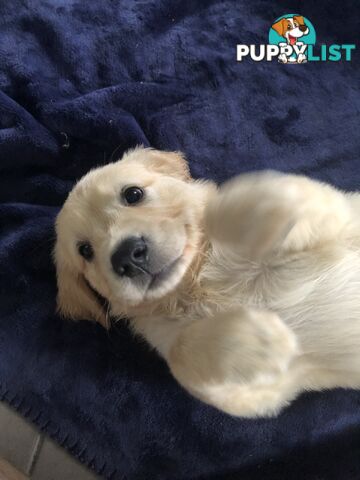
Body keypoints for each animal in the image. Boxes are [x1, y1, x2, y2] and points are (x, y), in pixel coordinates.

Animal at [54, 148, 360, 418]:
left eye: (133, 194)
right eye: (84, 251)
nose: (127, 256)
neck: (196, 279)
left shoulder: (337, 215)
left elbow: (265, 199)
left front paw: (237, 212)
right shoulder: (271, 390)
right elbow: (182, 355)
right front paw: (261, 338)